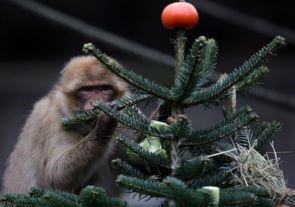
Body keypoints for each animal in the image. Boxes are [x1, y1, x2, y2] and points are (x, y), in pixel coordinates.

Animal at [1, 55, 128, 195]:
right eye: (86, 90)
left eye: (104, 88)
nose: (96, 103)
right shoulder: (55, 118)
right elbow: (55, 178)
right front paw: (105, 123)